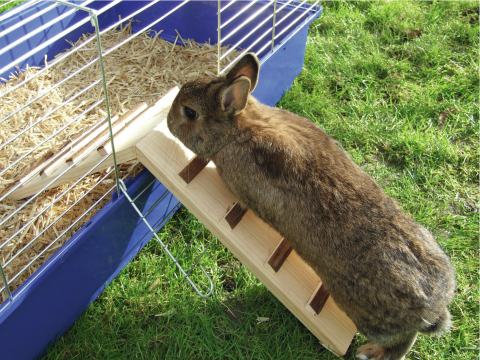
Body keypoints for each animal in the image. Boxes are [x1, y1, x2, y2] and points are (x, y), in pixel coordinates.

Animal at [167, 53, 456, 360]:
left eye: (190, 113)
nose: (168, 121)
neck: (239, 129)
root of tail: (435, 308)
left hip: (368, 317)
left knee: (402, 342)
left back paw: (368, 352)